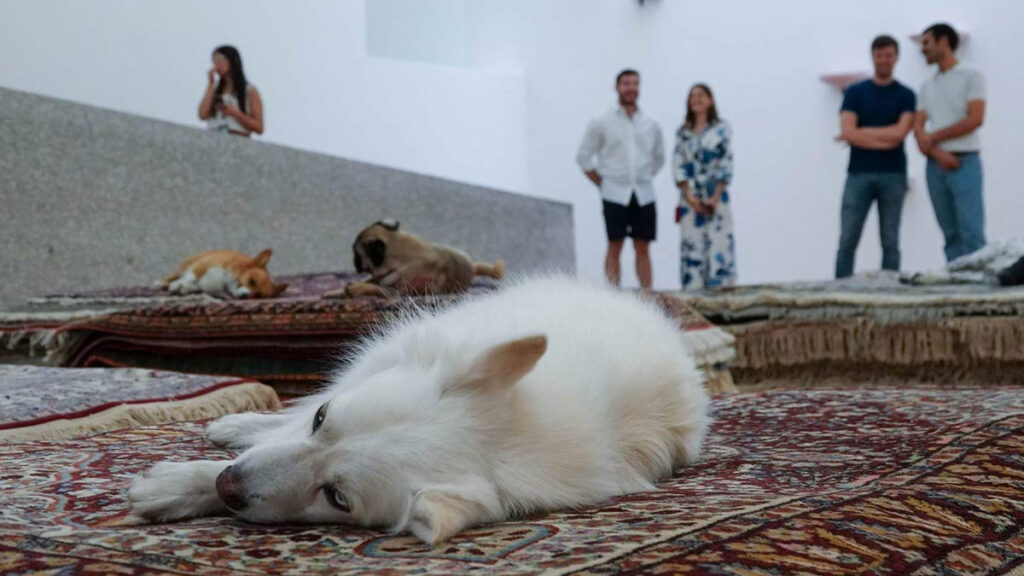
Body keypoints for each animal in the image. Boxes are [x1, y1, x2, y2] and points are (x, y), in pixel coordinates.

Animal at [128, 276, 712, 541]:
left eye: (336, 497)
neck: (522, 432)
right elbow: (285, 428)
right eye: (324, 422)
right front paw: (182, 480)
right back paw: (238, 424)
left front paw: (185, 488)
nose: (228, 487)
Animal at [159, 249, 288, 297]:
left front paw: (184, 288)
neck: (224, 282)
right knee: (176, 275)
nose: (245, 296)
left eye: (258, 296)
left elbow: (193, 286)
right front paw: (176, 285)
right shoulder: (202, 266)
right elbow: (191, 277)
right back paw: (163, 283)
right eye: (252, 281)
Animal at [325, 218, 505, 295]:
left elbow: (376, 287)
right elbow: (371, 280)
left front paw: (358, 288)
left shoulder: (395, 292)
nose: (354, 261)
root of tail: (473, 268)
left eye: (356, 254)